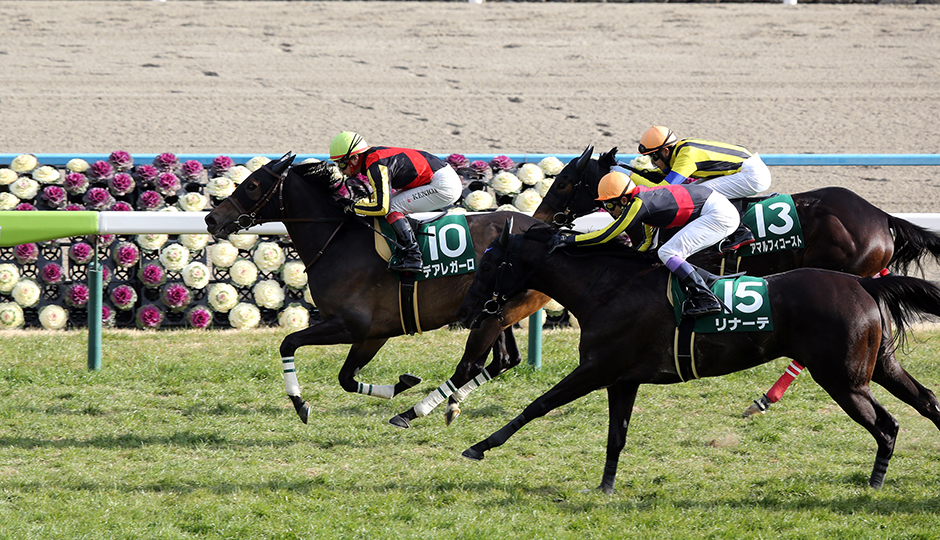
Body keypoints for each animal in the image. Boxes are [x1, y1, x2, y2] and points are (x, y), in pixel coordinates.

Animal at [204, 153, 548, 424]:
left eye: (252, 185)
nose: (211, 219)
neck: (337, 241)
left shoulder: (354, 326)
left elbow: (289, 343)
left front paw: (300, 403)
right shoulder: (373, 333)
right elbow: (345, 378)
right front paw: (403, 382)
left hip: (495, 314)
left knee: (469, 365)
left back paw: (413, 413)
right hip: (495, 310)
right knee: (504, 359)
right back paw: (450, 405)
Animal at [454, 221, 940, 493]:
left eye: (489, 264)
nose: (465, 311)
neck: (607, 287)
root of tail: (863, 283)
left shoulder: (597, 368)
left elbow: (539, 405)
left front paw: (479, 446)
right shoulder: (622, 378)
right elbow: (616, 437)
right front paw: (605, 487)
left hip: (843, 378)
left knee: (887, 424)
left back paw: (874, 485)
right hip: (878, 365)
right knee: (926, 400)